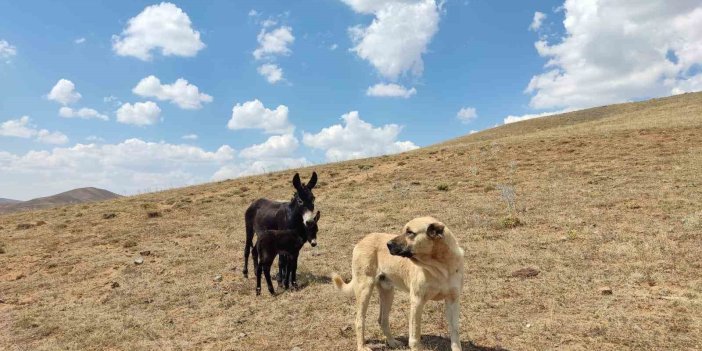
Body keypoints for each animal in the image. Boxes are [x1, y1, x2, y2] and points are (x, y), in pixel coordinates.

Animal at [334, 217, 468, 351]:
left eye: (410, 232)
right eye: (404, 230)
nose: (388, 244)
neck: (440, 268)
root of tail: (363, 240)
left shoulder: (453, 300)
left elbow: (455, 332)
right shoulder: (417, 301)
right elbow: (415, 336)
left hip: (388, 292)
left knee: (382, 320)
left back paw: (392, 342)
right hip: (365, 289)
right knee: (359, 320)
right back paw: (362, 346)